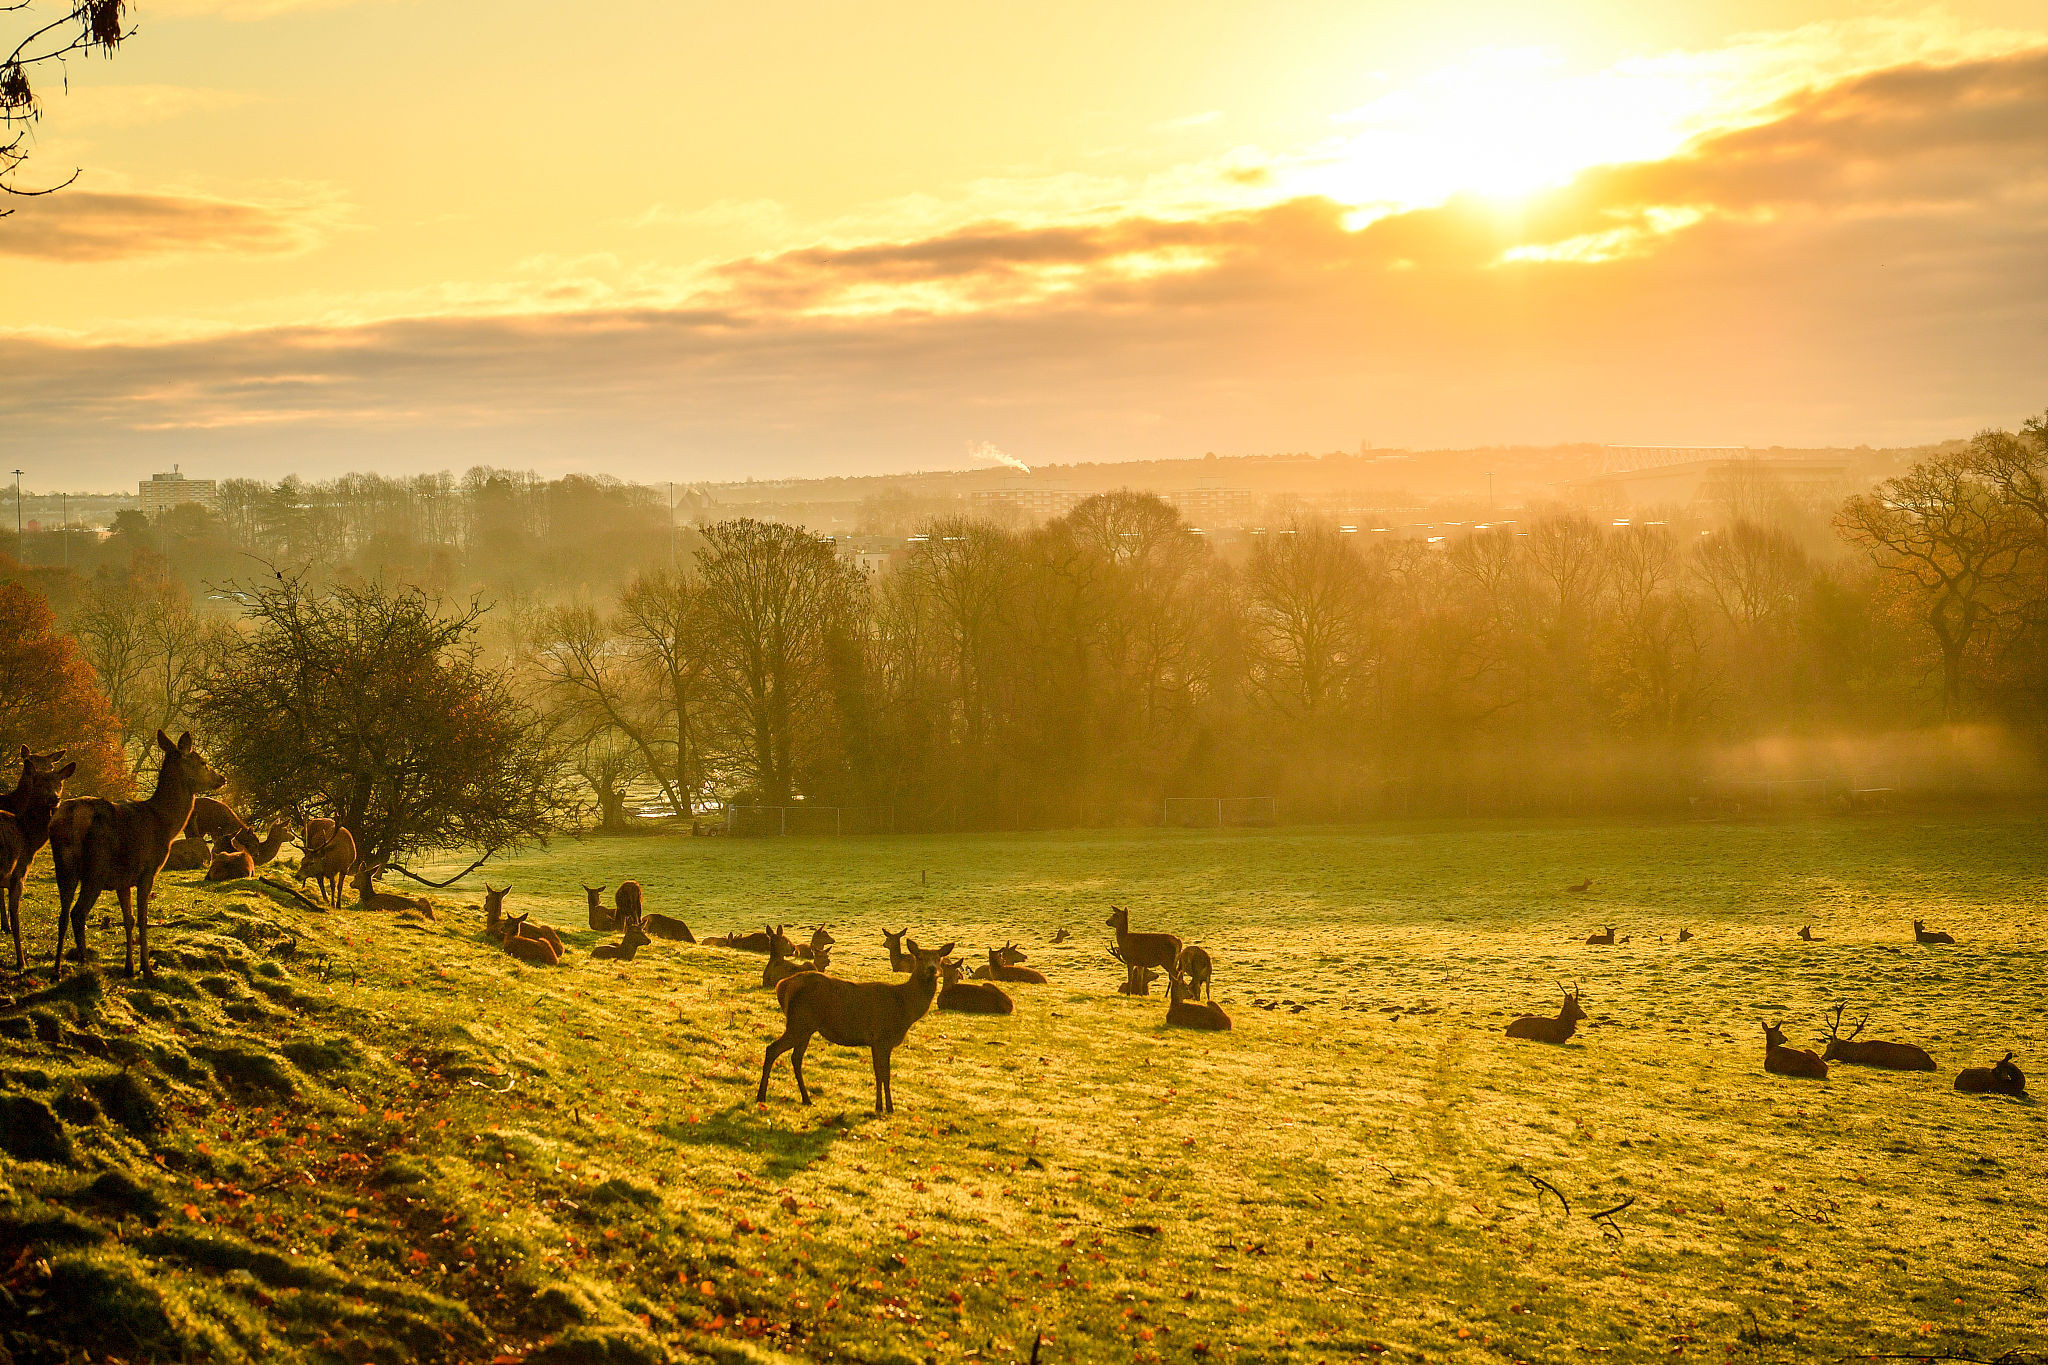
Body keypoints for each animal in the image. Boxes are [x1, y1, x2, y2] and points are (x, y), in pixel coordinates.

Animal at [1, 749, 73, 970]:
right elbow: (16, 918)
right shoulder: (17, 875)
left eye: (60, 783)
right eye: (40, 784)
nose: (54, 798)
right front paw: (21, 962)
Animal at [50, 724, 225, 982]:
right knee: (77, 913)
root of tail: (69, 819)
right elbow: (142, 918)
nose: (222, 778)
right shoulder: (147, 870)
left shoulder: (123, 879)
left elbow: (128, 919)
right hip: (95, 869)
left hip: (64, 867)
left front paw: (129, 967)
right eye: (202, 761)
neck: (165, 823)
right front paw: (147, 968)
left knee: (62, 915)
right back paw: (88, 967)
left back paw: (57, 970)